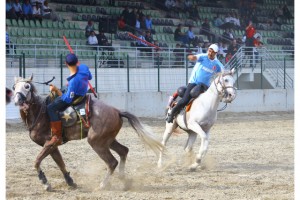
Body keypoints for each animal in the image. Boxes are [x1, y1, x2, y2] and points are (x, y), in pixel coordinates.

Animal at [11, 74, 164, 191]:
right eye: (14, 87)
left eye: (27, 86)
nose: (17, 100)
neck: (41, 113)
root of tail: (117, 111)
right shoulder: (52, 145)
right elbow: (60, 163)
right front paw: (70, 181)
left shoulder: (50, 142)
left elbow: (37, 161)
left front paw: (45, 183)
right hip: (108, 140)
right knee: (123, 151)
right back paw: (124, 181)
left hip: (96, 142)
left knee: (112, 162)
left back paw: (103, 185)